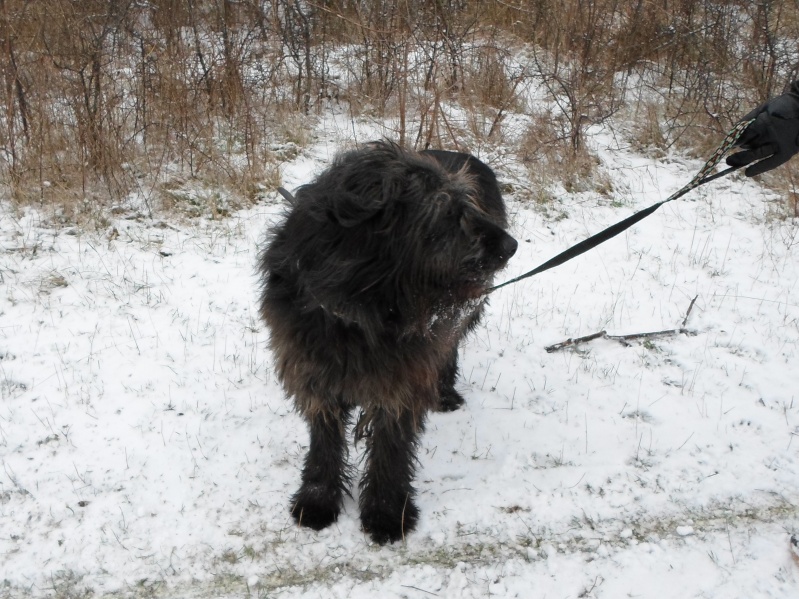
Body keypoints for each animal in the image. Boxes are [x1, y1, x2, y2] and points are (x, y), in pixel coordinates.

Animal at [260, 141, 520, 544]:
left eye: (468, 204)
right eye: (447, 211)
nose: (511, 245)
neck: (360, 307)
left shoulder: (402, 378)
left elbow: (390, 446)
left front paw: (386, 513)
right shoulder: (313, 371)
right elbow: (324, 441)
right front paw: (317, 500)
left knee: (449, 347)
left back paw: (445, 393)